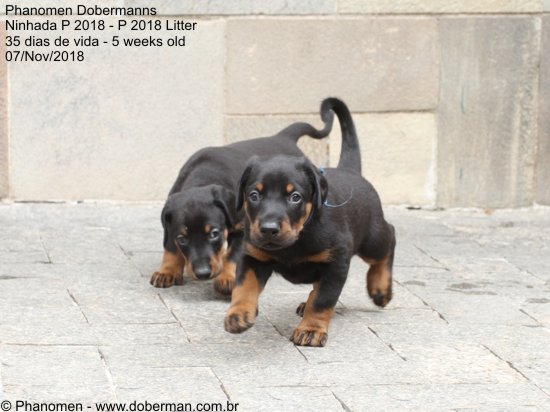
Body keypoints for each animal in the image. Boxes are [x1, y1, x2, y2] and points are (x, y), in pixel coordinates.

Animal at [150, 109, 335, 296]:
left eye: (214, 234)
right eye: (182, 238)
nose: (203, 273)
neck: (203, 178)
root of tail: (284, 137)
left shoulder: (242, 229)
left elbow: (233, 254)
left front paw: (226, 278)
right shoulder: (170, 224)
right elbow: (170, 247)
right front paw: (168, 271)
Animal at [224, 97, 396, 346]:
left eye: (295, 197)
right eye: (254, 195)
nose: (268, 230)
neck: (299, 237)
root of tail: (350, 171)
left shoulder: (337, 262)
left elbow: (324, 299)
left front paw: (312, 329)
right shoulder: (254, 256)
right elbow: (243, 286)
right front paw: (238, 314)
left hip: (371, 240)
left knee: (388, 239)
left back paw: (380, 289)